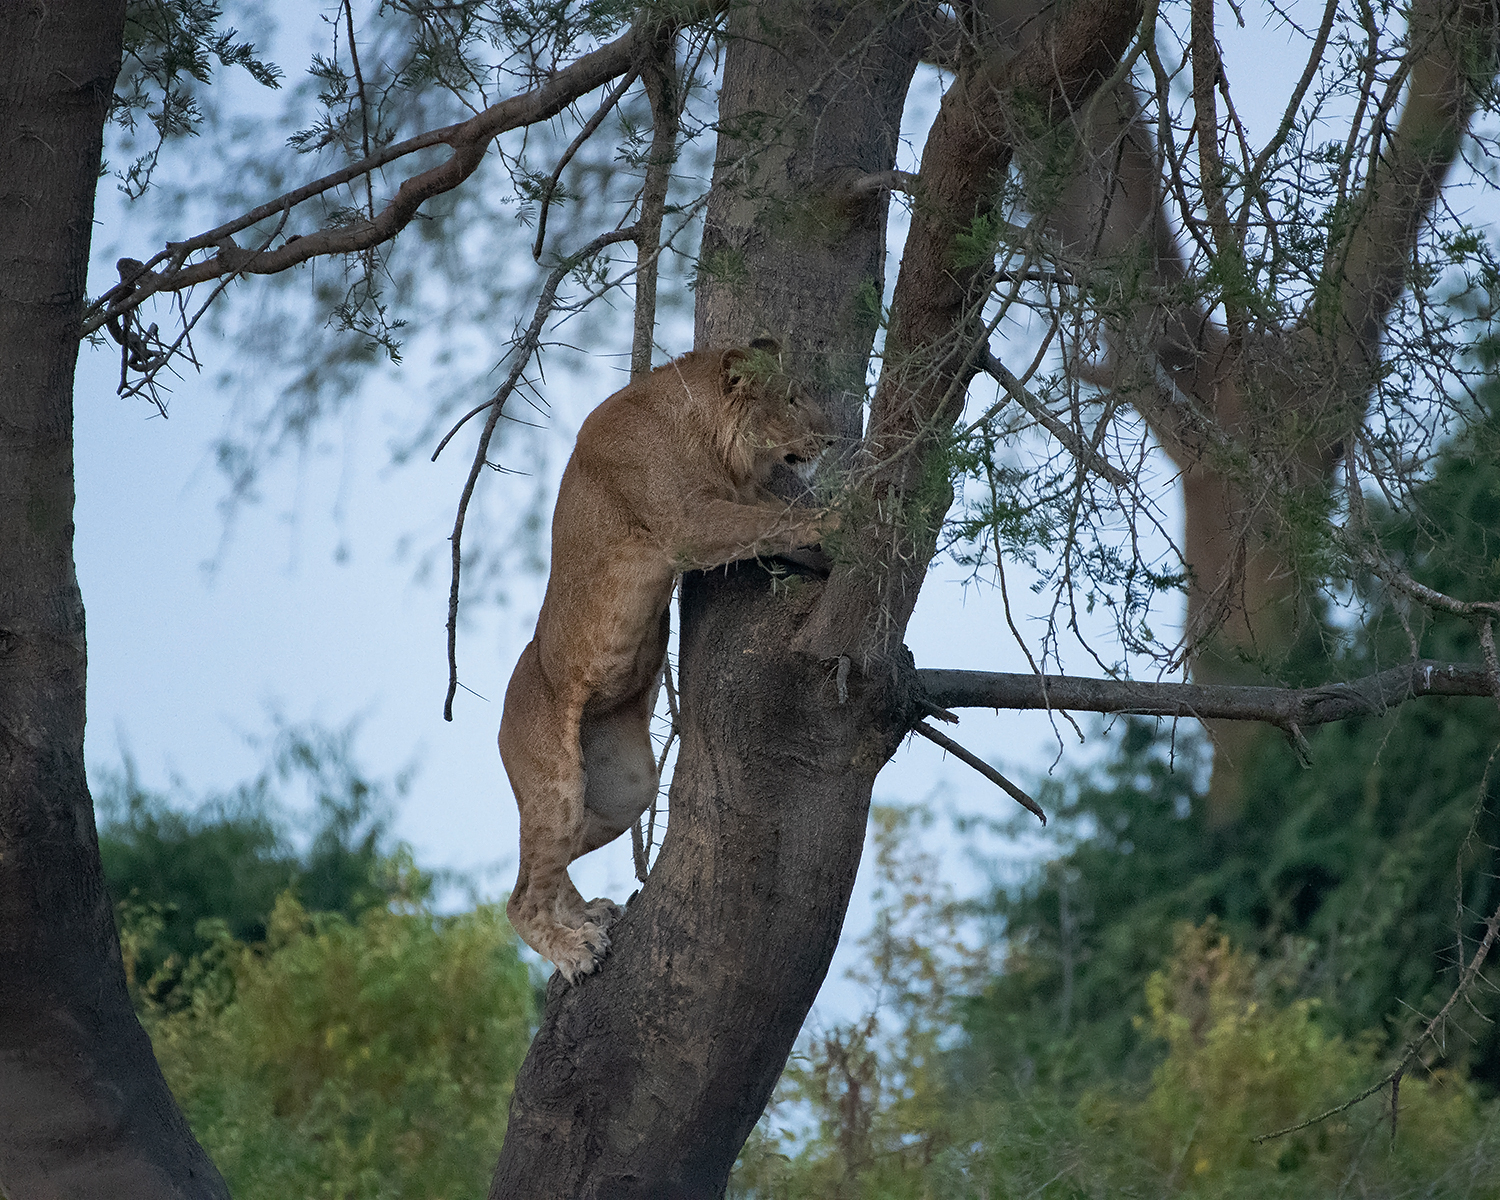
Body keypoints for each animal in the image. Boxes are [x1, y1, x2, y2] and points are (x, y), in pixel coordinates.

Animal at [499, 340, 835, 981]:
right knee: (520, 898)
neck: (709, 439)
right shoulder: (691, 521)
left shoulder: (732, 501)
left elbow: (776, 525)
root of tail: (501, 726)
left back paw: (588, 917)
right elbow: (773, 521)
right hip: (555, 786)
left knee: (537, 873)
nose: (831, 439)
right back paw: (574, 950)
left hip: (623, 789)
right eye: (791, 399)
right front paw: (840, 517)